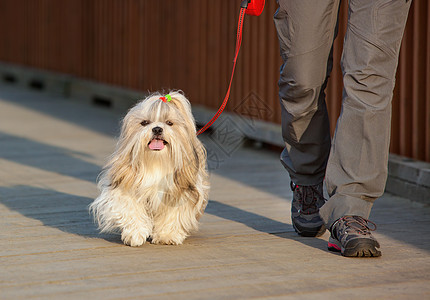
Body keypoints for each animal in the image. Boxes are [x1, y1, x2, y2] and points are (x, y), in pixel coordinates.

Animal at [90, 91, 210, 246]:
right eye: (145, 123)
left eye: (169, 123)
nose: (157, 128)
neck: (156, 163)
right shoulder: (126, 184)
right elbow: (130, 208)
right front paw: (135, 234)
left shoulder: (179, 190)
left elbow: (172, 213)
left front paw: (167, 235)